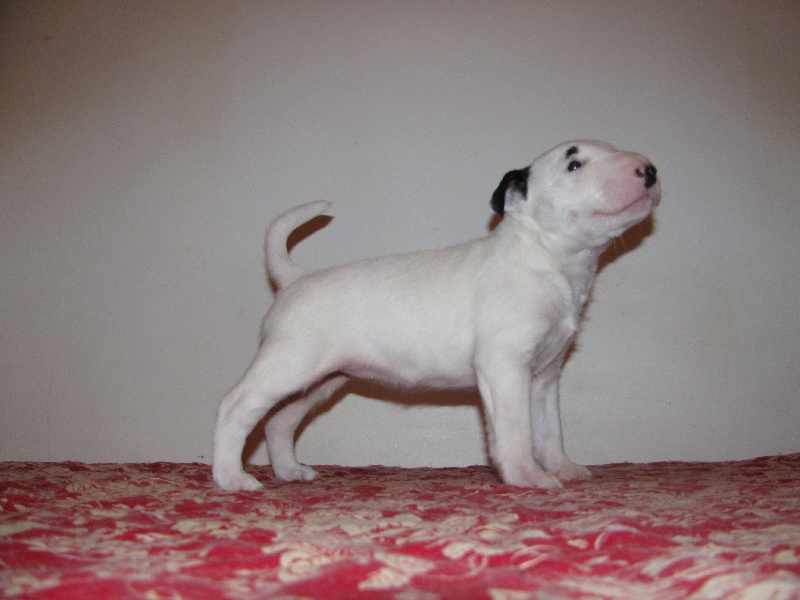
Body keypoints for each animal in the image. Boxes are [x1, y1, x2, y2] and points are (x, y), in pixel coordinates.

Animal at [213, 140, 659, 491]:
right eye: (574, 164)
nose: (650, 170)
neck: (545, 257)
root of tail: (295, 278)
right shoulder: (504, 365)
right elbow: (516, 429)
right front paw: (526, 476)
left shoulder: (544, 377)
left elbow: (549, 431)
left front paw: (564, 469)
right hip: (288, 363)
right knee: (235, 406)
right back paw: (231, 478)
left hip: (321, 381)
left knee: (279, 421)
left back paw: (289, 471)